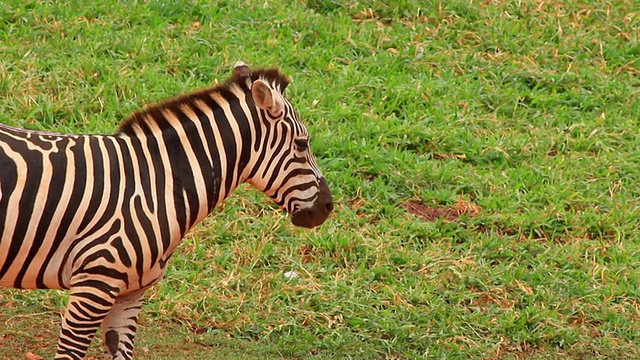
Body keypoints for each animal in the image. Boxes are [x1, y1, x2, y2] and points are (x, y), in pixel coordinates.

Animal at [0, 62, 332, 360]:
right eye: (302, 144)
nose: (327, 207)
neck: (158, 184)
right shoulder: (94, 282)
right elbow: (69, 354)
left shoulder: (130, 293)